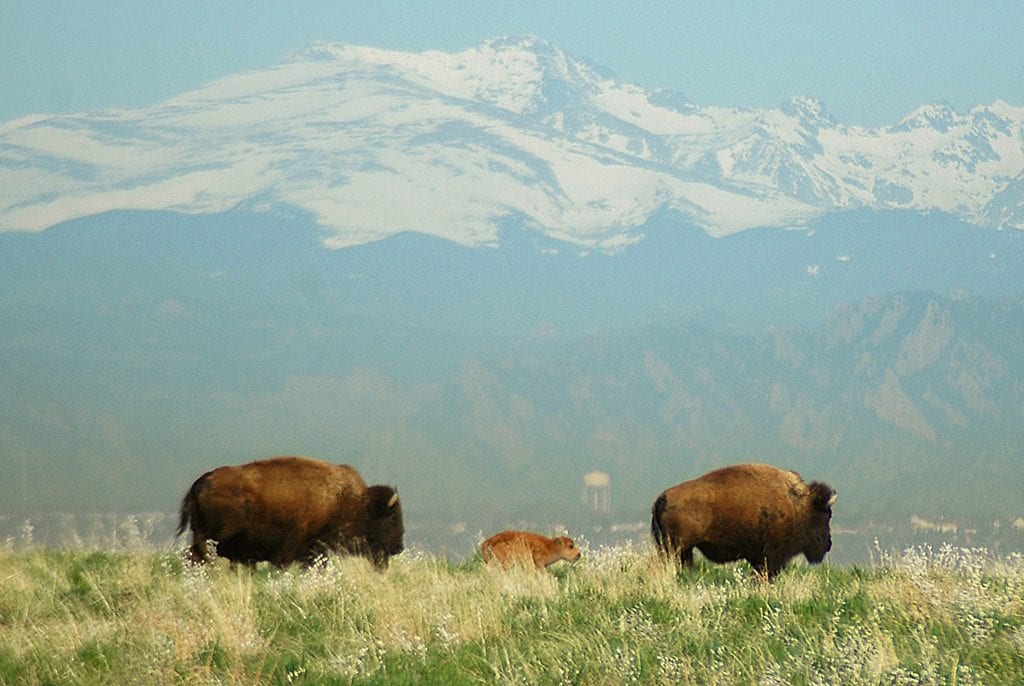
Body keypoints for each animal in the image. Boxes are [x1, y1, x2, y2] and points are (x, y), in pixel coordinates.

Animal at [651, 463, 836, 580]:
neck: (798, 504)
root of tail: (662, 498)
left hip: (680, 549)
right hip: (676, 548)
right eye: (826, 515)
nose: (828, 544)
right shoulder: (772, 555)